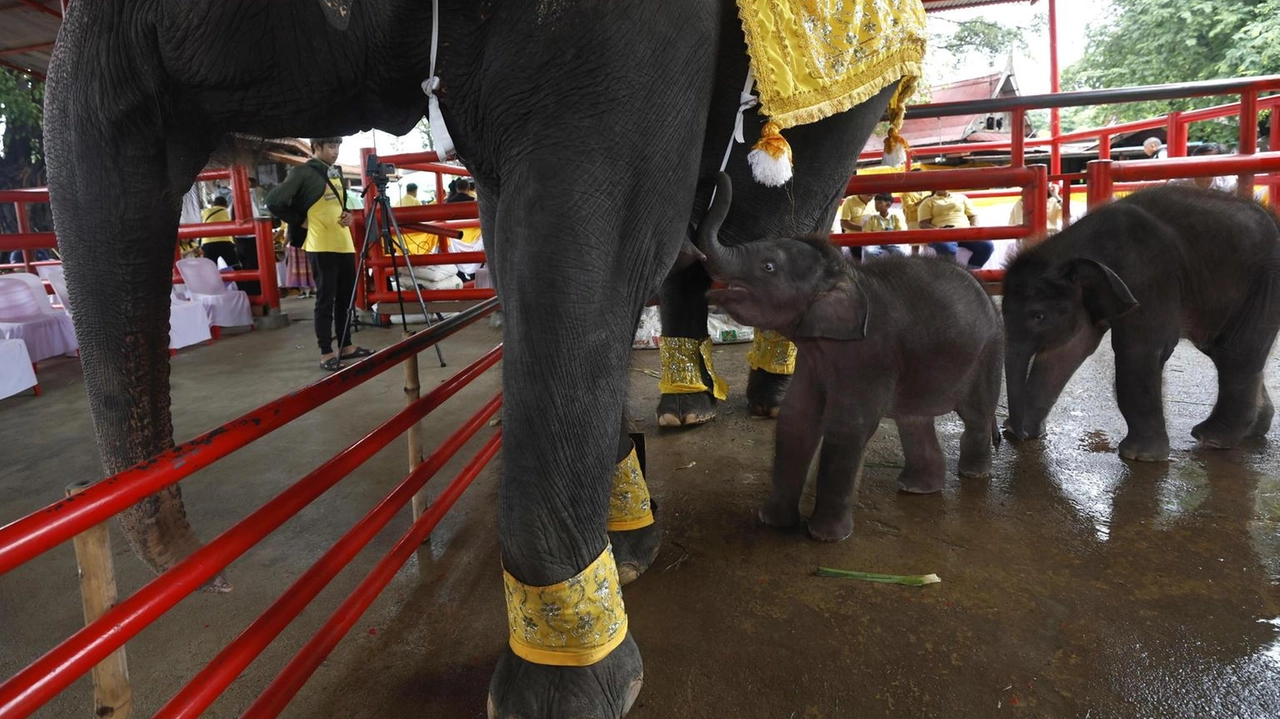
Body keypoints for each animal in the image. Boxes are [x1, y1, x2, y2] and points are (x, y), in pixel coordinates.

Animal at [45, 0, 916, 711]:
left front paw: (563, 686)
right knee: (707, 227)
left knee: (781, 202)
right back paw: (685, 409)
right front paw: (629, 551)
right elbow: (526, 249)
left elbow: (585, 255)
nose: (213, 571)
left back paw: (772, 394)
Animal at [696, 173, 1003, 539]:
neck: (843, 273)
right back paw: (915, 488)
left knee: (975, 414)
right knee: (914, 420)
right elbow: (796, 418)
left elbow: (847, 426)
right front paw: (772, 522)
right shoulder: (814, 357)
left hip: (988, 350)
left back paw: (973, 475)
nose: (715, 175)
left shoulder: (869, 355)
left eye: (768, 266)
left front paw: (824, 537)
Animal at [1003, 184, 1280, 458]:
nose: (1017, 436)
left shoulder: (1148, 278)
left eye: (1039, 316)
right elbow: (1065, 353)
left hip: (1264, 284)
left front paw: (1139, 456)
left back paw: (1211, 438)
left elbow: (1139, 351)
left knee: (1237, 353)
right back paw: (1250, 431)